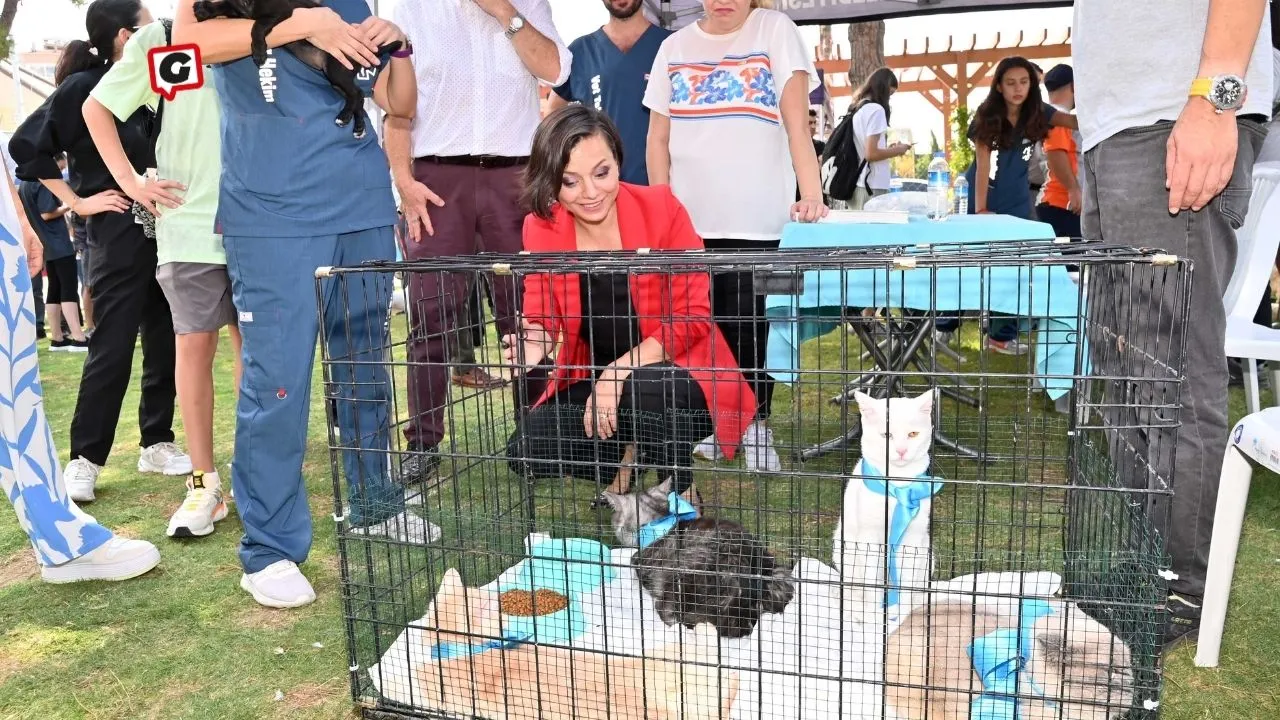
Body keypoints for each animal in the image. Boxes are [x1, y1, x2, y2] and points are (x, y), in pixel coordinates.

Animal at [829, 386, 942, 622]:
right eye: (886, 435)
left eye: (913, 434)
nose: (901, 451)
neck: (896, 485)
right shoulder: (869, 540)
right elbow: (873, 584)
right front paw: (874, 617)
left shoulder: (913, 539)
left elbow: (906, 584)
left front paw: (902, 614)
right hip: (842, 550)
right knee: (854, 588)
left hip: (928, 554)